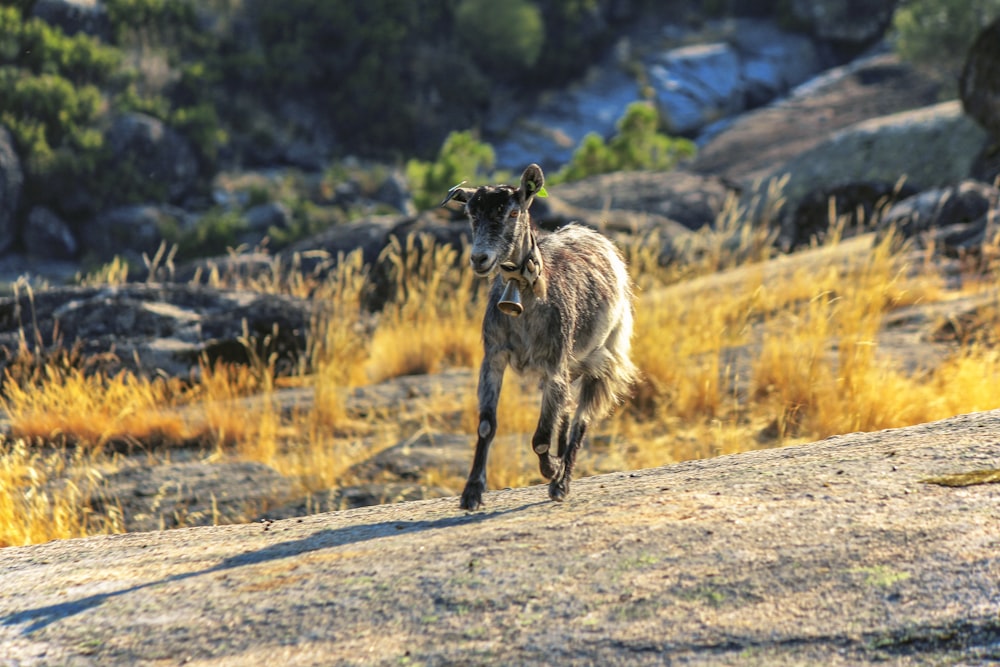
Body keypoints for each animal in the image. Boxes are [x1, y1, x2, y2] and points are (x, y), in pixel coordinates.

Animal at [442, 164, 636, 508]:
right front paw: (472, 492)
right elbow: (487, 425)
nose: (479, 259)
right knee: (567, 410)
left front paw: (552, 469)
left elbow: (541, 438)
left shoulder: (553, 363)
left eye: (513, 211)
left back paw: (561, 482)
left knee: (581, 419)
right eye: (470, 213)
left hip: (605, 355)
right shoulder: (494, 358)